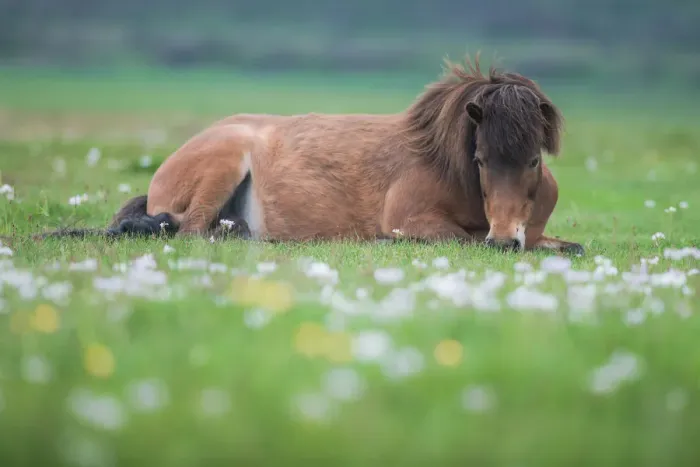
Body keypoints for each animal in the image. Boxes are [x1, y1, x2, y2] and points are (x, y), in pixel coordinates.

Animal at [36, 55, 584, 255]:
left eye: (533, 161)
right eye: (481, 160)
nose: (503, 238)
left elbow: (568, 247)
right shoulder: (412, 223)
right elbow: (463, 240)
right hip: (224, 162)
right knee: (191, 232)